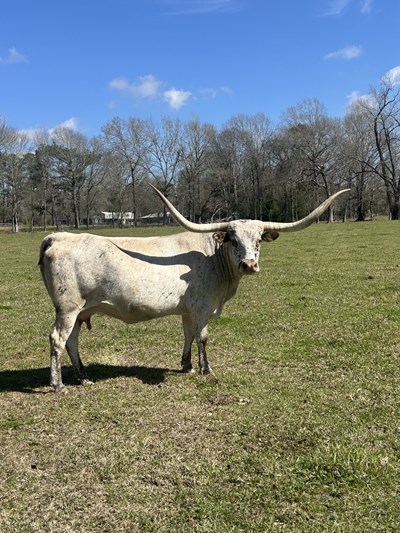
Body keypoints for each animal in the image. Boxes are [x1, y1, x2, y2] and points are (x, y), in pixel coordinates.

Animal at [39, 185, 349, 391]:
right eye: (233, 239)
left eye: (259, 240)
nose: (249, 264)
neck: (214, 258)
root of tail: (57, 236)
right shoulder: (202, 308)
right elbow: (203, 337)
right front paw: (206, 369)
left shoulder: (188, 310)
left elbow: (188, 335)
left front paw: (186, 365)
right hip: (67, 308)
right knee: (57, 339)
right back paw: (58, 384)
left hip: (80, 311)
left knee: (72, 341)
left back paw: (83, 377)